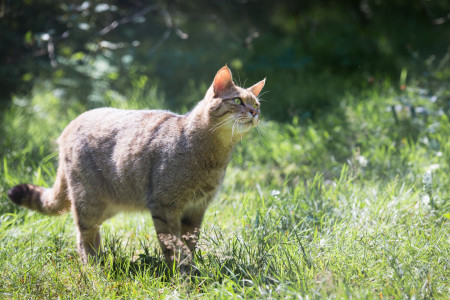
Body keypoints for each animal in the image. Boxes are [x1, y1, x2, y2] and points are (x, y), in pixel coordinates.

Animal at [6, 66, 264, 268]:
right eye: (238, 101)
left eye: (257, 104)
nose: (254, 112)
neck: (212, 154)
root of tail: (71, 124)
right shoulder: (165, 205)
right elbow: (173, 246)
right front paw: (182, 274)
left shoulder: (196, 209)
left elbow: (189, 243)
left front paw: (191, 267)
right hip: (88, 201)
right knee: (83, 237)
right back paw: (94, 269)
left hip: (108, 204)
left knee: (90, 234)